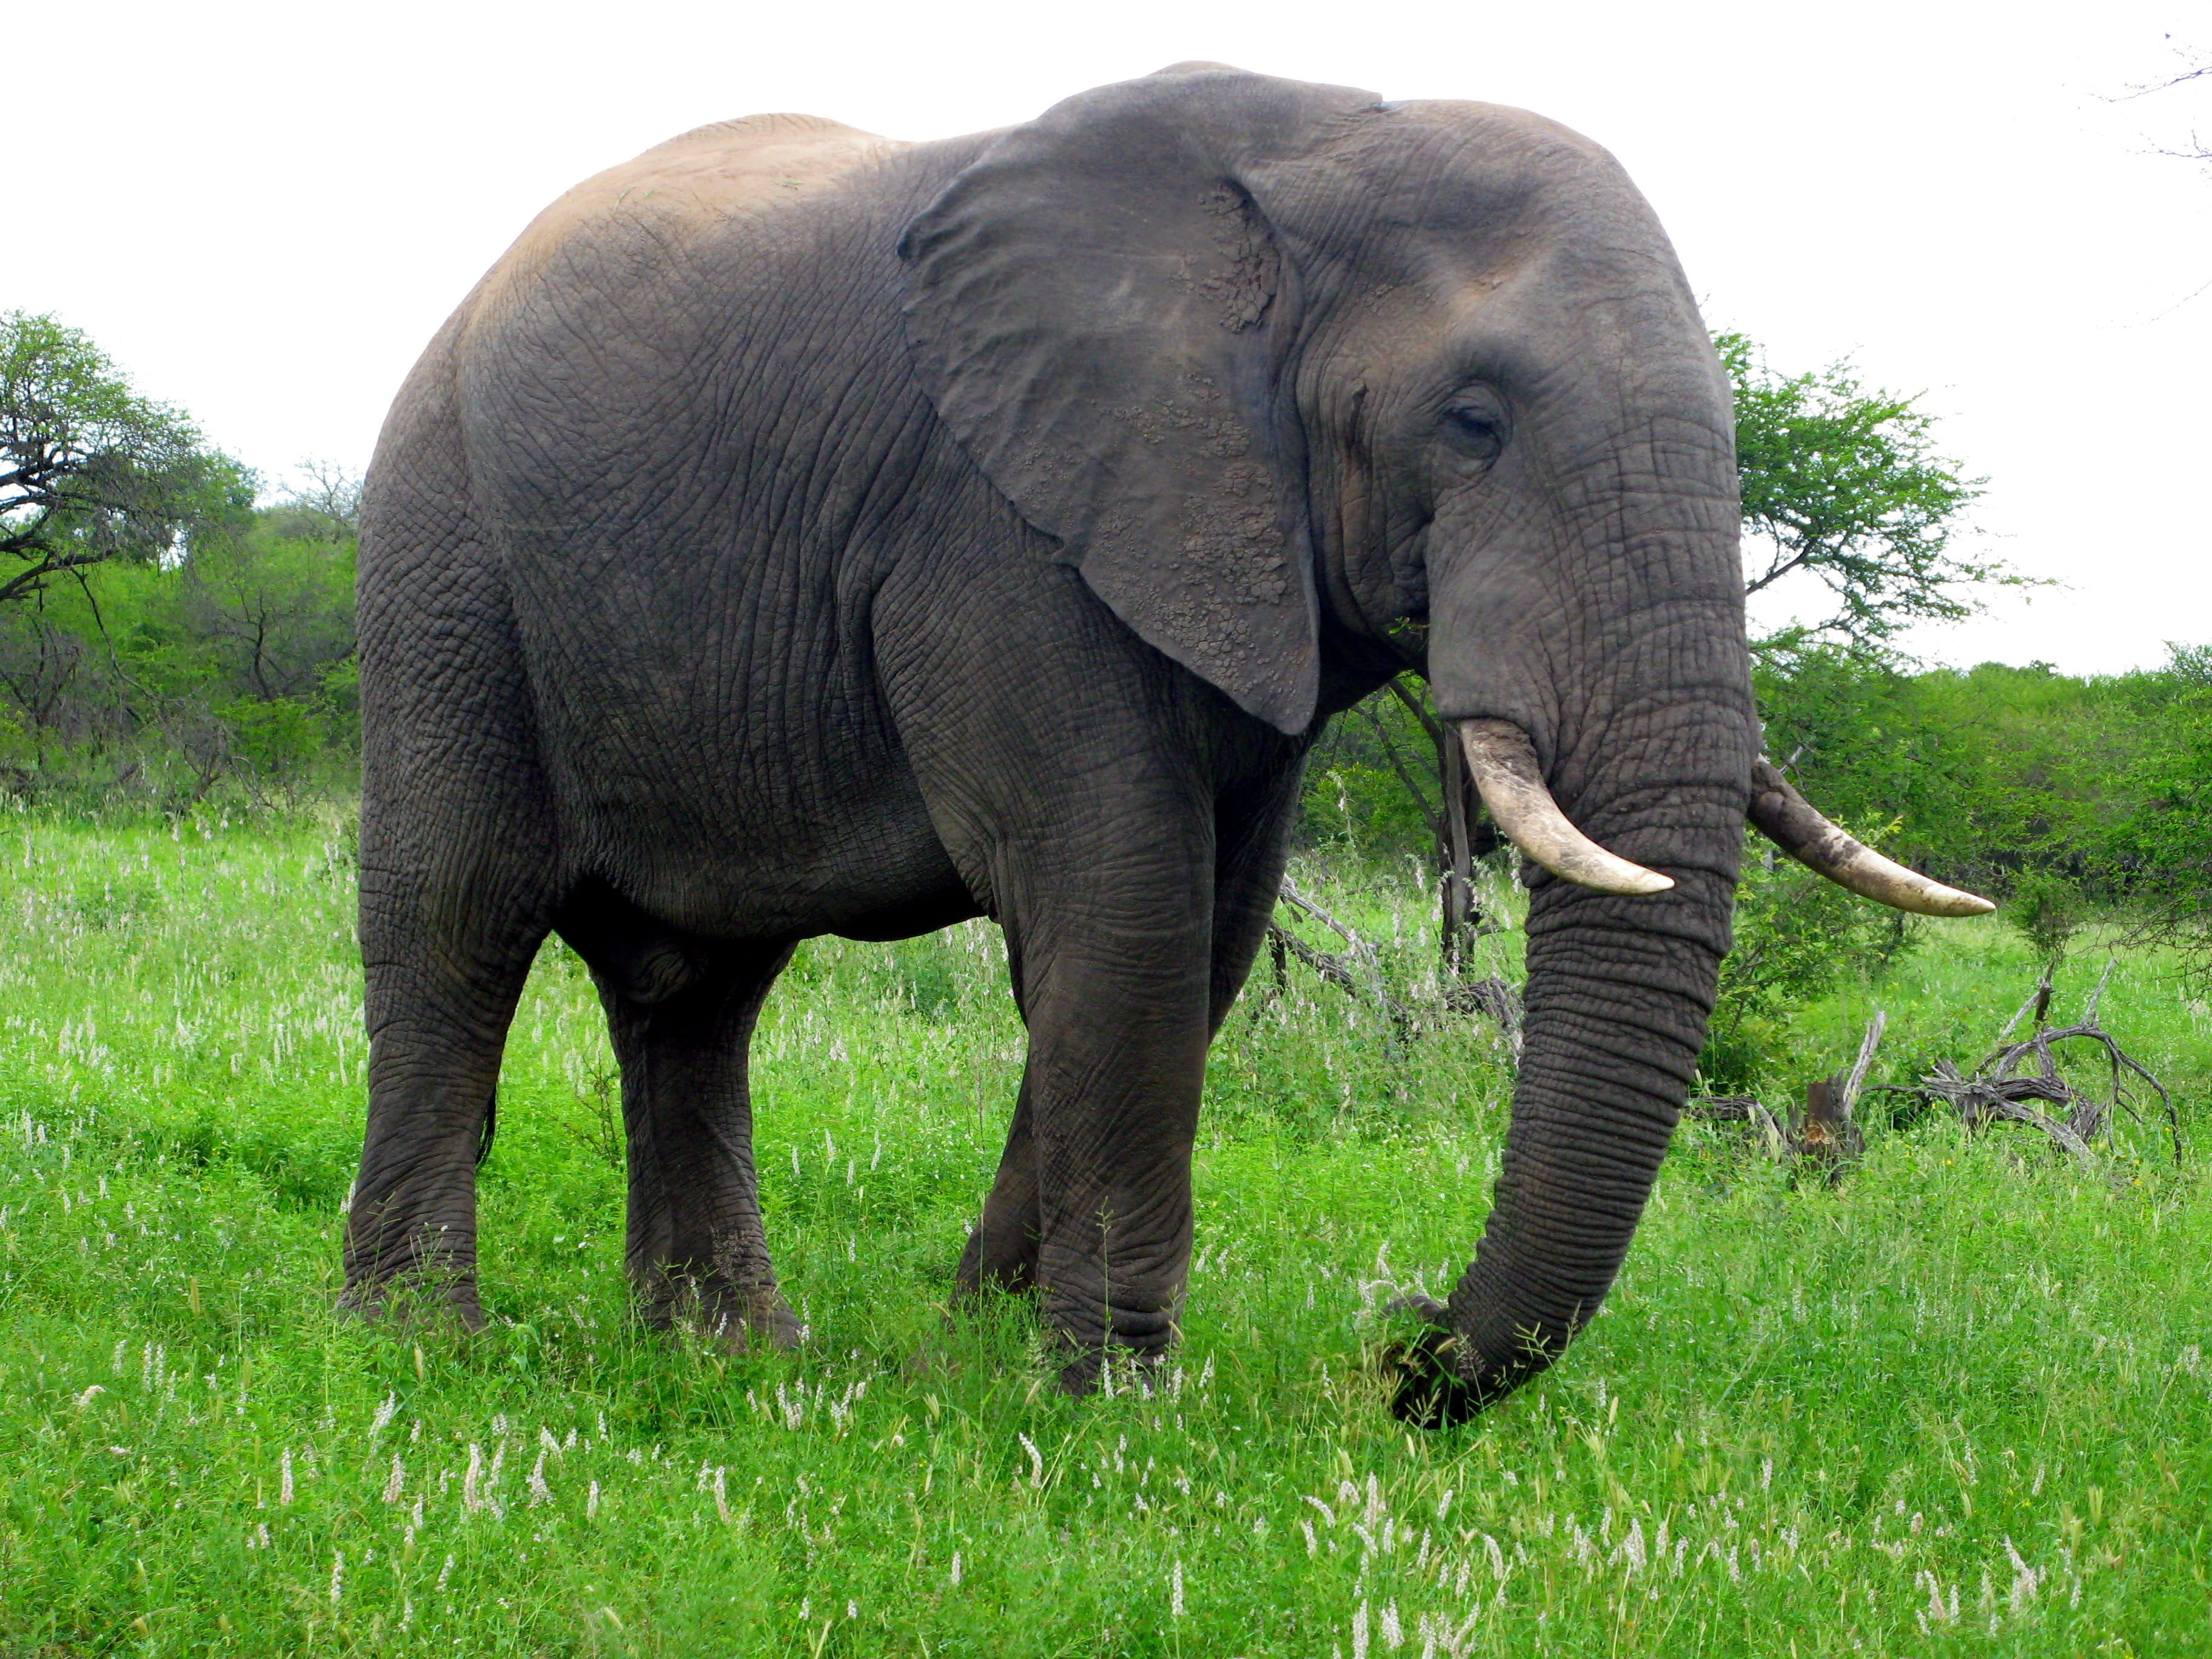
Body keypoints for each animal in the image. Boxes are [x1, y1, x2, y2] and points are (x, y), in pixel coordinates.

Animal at [342, 62, 1989, 1419]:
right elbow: (1121, 901)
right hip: (444, 551)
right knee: (457, 923)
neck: (1312, 158)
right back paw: (421, 1351)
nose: (1399, 1345)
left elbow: (1205, 938)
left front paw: (978, 1349)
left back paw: (734, 1356)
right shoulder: (1001, 524)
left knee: (696, 991)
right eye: (1471, 421)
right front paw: (1116, 1409)